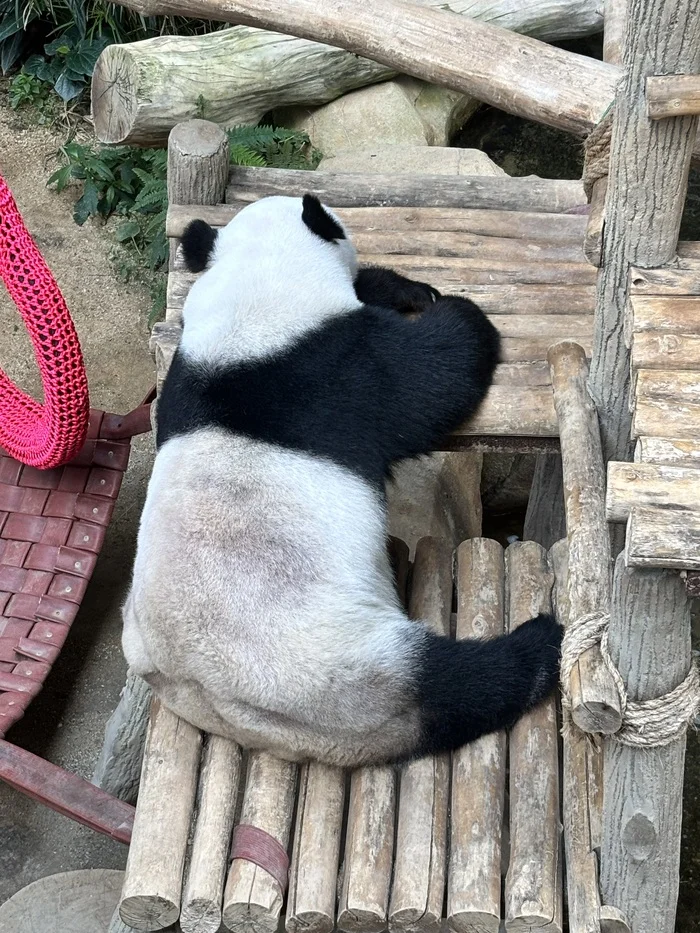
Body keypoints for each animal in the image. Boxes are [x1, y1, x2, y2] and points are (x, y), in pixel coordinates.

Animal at [122, 193, 563, 767]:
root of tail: (208, 698)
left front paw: (407, 289)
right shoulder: (345, 368)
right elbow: (438, 372)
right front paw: (458, 310)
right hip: (338, 671)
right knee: (450, 686)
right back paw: (538, 646)